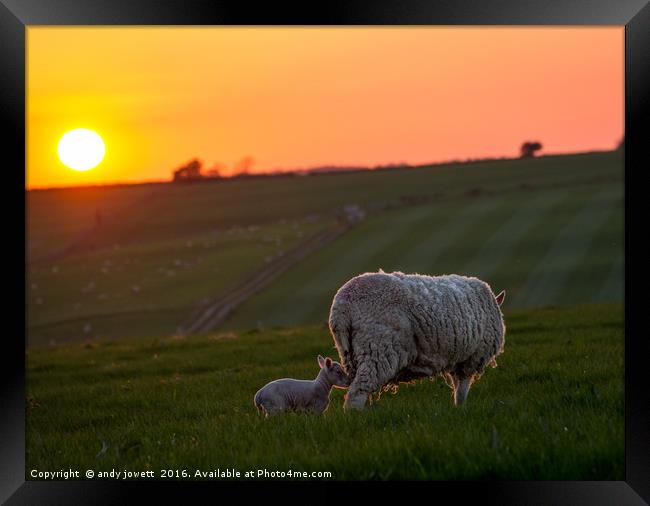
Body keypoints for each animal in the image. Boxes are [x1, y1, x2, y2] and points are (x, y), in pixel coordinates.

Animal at [326, 270, 504, 410]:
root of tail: (342, 305)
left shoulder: (457, 360)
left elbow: (457, 388)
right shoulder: (471, 359)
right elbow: (462, 391)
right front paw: (461, 408)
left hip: (351, 354)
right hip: (377, 349)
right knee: (357, 393)